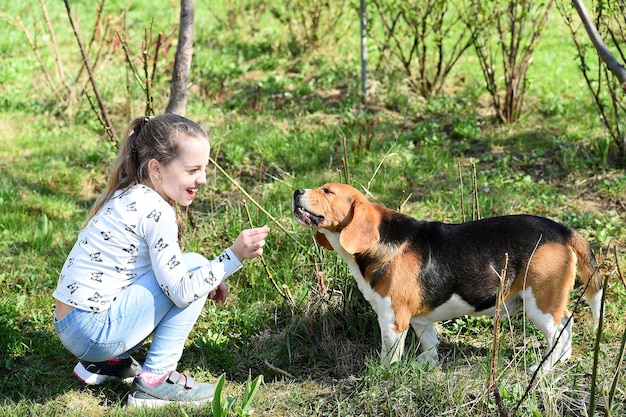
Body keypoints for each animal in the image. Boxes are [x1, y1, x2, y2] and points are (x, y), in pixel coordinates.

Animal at [292, 183, 600, 370]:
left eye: (328, 191)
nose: (296, 191)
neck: (380, 241)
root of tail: (563, 230)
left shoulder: (392, 320)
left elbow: (388, 357)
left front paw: (383, 376)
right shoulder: (419, 321)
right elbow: (430, 345)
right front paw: (424, 367)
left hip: (540, 303)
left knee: (559, 334)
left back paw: (543, 368)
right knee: (567, 329)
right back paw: (560, 362)